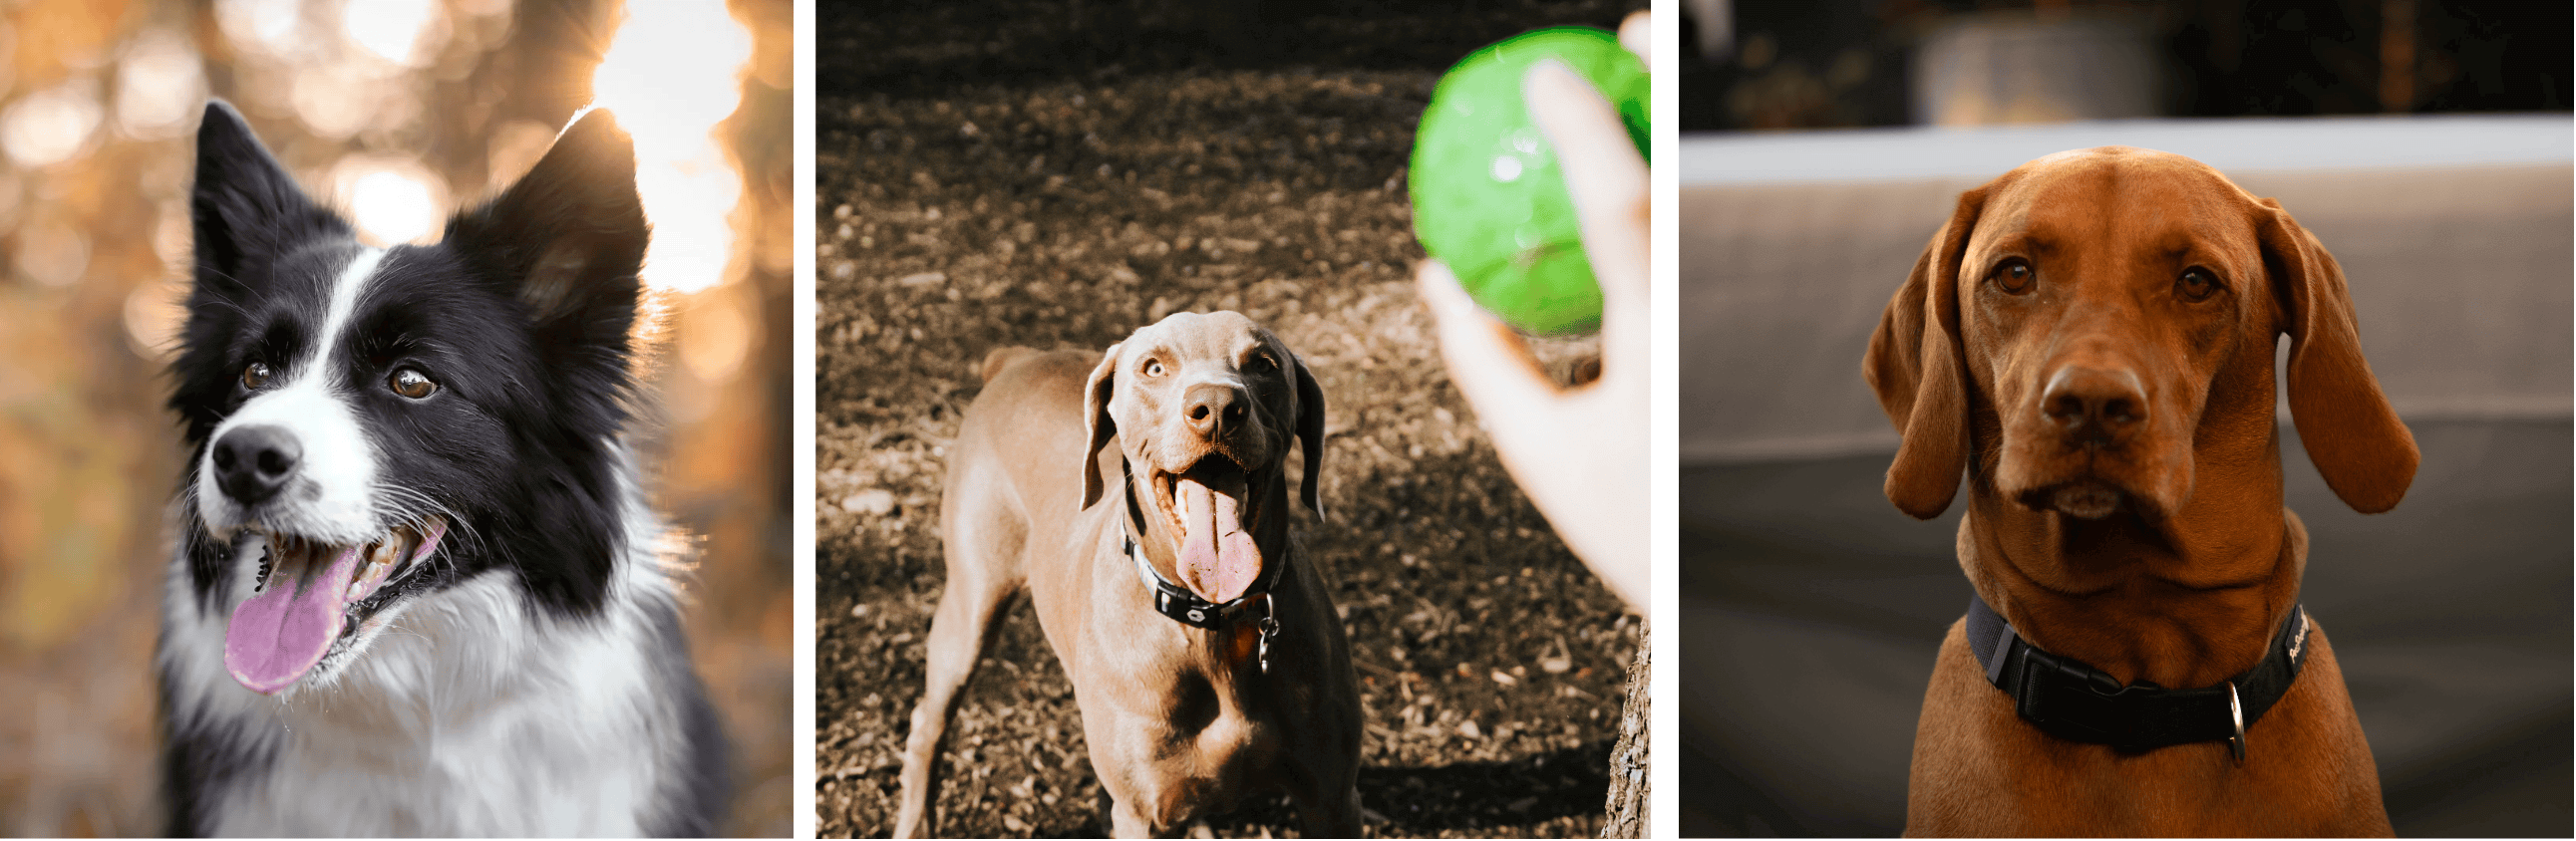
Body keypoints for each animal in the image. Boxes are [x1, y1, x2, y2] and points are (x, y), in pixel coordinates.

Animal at [891, 312, 1370, 838]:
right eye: (1154, 367)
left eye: (1264, 365)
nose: (1218, 408)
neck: (1213, 622)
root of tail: (1018, 360)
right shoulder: (1144, 814)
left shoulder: (1333, 801)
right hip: (972, 603)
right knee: (927, 721)